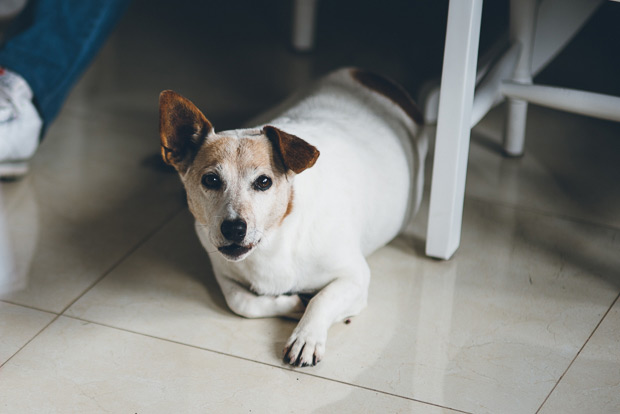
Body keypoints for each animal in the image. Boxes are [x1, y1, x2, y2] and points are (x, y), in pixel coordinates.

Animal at [157, 67, 426, 366]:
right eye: (211, 180)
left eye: (264, 182)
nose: (234, 229)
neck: (275, 240)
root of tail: (370, 75)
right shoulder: (224, 275)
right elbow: (243, 303)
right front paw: (295, 303)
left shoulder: (355, 276)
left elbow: (323, 299)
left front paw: (306, 336)